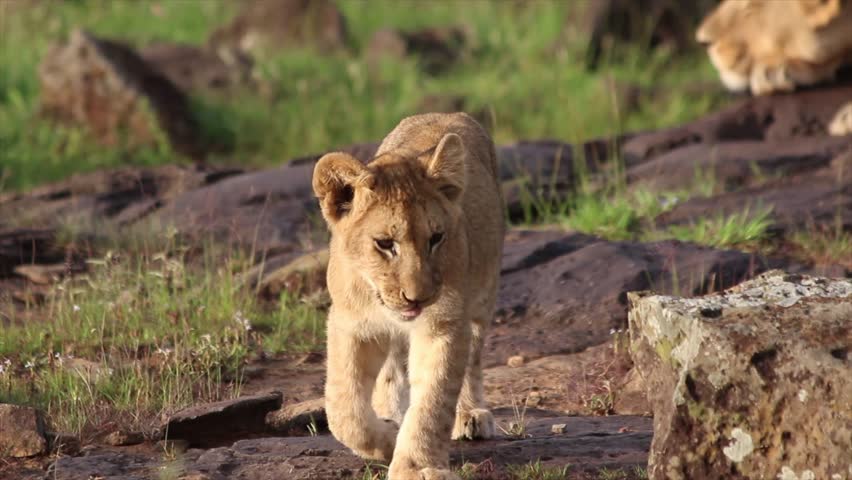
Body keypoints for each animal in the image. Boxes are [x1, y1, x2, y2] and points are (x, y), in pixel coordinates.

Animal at [312, 112, 504, 480]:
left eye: (436, 238)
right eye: (385, 244)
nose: (419, 298)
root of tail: (450, 114)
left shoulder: (443, 324)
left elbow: (433, 400)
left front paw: (416, 466)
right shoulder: (351, 324)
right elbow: (344, 409)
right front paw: (387, 437)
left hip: (483, 296)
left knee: (472, 358)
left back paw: (470, 414)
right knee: (390, 372)